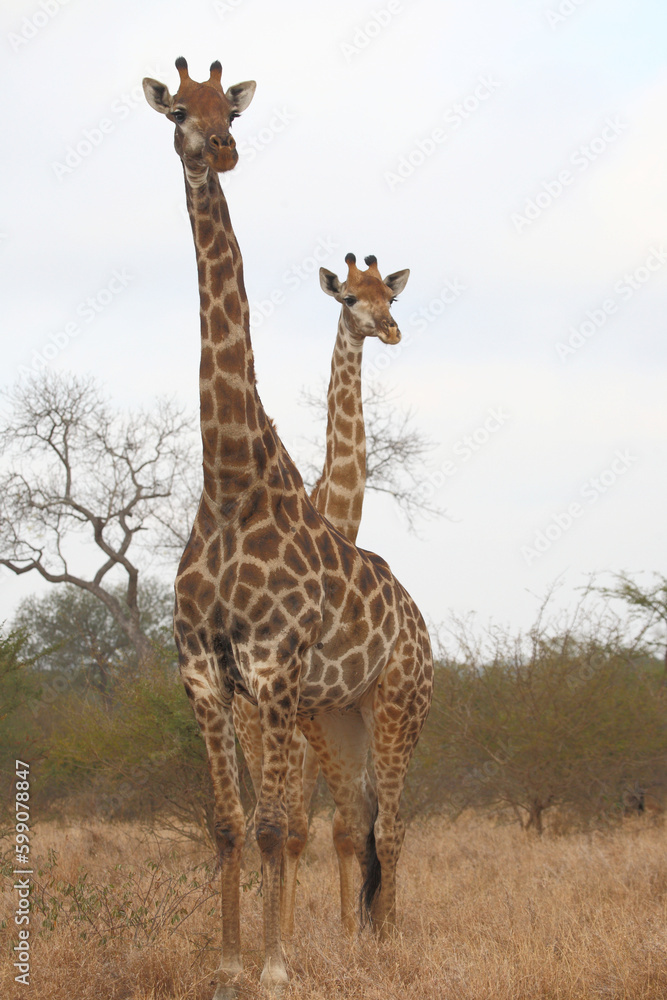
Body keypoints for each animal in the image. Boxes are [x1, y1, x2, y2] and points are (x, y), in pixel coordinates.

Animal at [233, 252, 411, 940]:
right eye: (348, 299)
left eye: (390, 295)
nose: (390, 330)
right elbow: (297, 829)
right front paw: (291, 934)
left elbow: (335, 828)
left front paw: (343, 928)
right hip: (249, 730)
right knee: (262, 819)